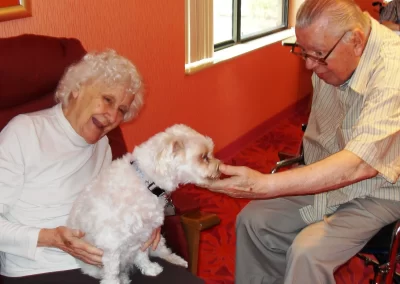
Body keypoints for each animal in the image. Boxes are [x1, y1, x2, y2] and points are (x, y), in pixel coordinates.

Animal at [67, 124, 220, 284]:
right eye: (204, 157)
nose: (219, 167)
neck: (147, 182)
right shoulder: (111, 244)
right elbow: (112, 272)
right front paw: (116, 280)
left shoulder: (144, 235)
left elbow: (142, 256)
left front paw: (150, 269)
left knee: (163, 251)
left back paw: (177, 261)